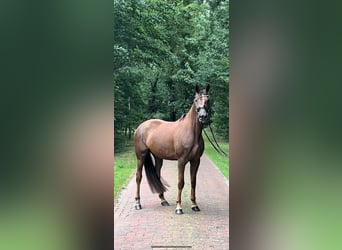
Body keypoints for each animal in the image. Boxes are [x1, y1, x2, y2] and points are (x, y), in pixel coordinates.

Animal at [134, 85, 210, 214]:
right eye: (195, 100)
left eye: (207, 100)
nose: (203, 117)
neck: (191, 132)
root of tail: (141, 127)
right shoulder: (181, 161)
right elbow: (180, 182)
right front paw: (179, 208)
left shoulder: (195, 161)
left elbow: (193, 182)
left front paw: (194, 205)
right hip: (141, 156)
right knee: (138, 177)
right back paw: (137, 203)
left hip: (158, 157)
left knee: (157, 175)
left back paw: (163, 200)